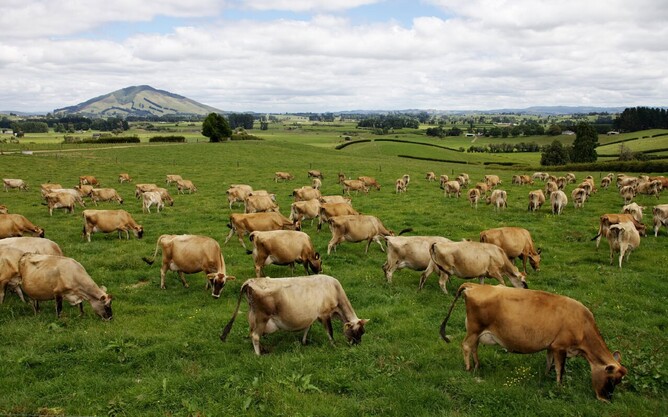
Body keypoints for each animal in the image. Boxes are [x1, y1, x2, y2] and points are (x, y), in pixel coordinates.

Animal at [220, 275, 368, 355]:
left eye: (363, 332)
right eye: (356, 331)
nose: (357, 345)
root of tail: (249, 282)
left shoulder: (311, 315)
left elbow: (307, 327)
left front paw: (304, 342)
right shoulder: (324, 314)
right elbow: (330, 332)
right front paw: (334, 346)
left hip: (253, 316)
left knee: (252, 333)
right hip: (262, 317)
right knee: (255, 336)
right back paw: (258, 355)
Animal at [439, 283, 626, 401]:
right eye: (611, 380)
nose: (606, 400)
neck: (583, 325)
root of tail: (474, 285)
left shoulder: (552, 346)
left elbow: (549, 363)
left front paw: (545, 377)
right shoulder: (561, 347)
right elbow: (560, 369)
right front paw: (559, 387)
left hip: (477, 332)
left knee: (474, 347)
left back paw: (477, 365)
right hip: (474, 329)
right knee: (466, 346)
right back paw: (469, 368)